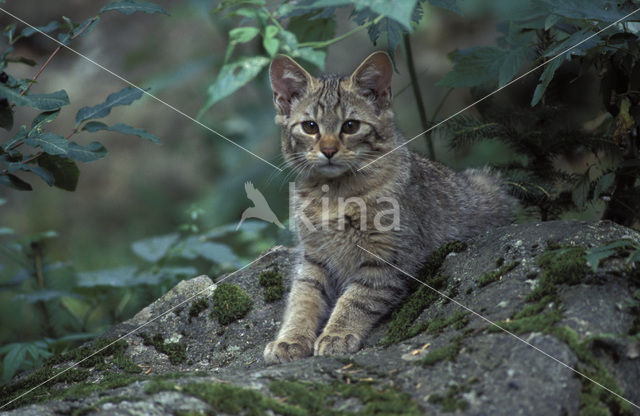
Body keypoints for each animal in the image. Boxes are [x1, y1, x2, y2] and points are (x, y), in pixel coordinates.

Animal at [262, 52, 516, 364]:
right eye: (310, 127)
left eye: (350, 126)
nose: (329, 150)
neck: (335, 195)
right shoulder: (313, 258)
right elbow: (302, 299)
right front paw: (291, 339)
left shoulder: (387, 258)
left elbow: (356, 299)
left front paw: (337, 334)